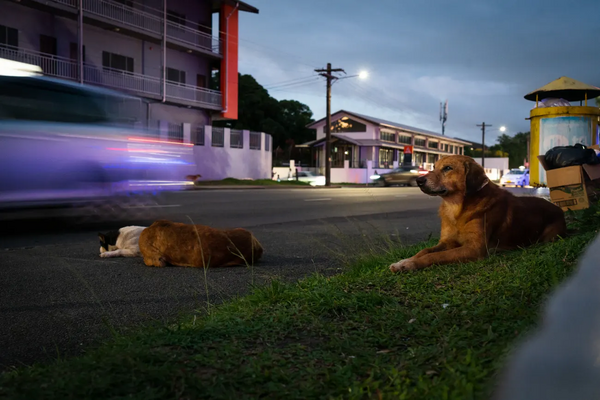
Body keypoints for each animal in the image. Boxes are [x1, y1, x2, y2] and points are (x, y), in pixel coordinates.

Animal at [390, 155, 568, 274]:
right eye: (433, 167)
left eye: (448, 168)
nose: (419, 181)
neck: (457, 209)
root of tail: (559, 209)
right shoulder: (447, 241)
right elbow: (425, 251)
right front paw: (404, 262)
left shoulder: (475, 249)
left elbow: (435, 256)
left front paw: (412, 264)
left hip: (548, 237)